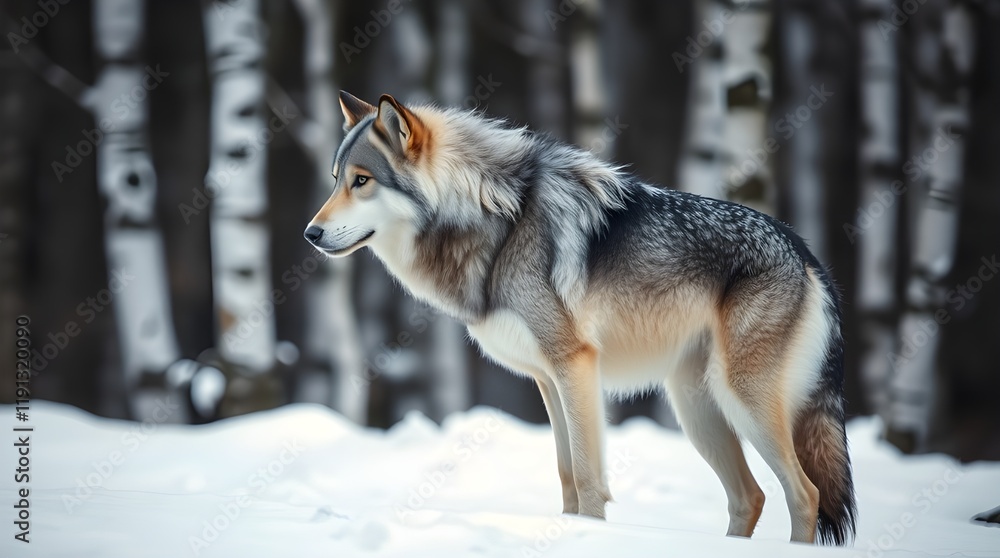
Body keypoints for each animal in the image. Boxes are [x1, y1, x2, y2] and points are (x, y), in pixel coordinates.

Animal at [304, 91, 858, 545]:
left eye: (361, 181)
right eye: (334, 181)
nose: (310, 233)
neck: (498, 223)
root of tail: (804, 250)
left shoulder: (576, 365)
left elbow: (590, 479)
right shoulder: (549, 380)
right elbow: (566, 474)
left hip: (741, 399)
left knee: (805, 494)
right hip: (697, 409)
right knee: (751, 496)